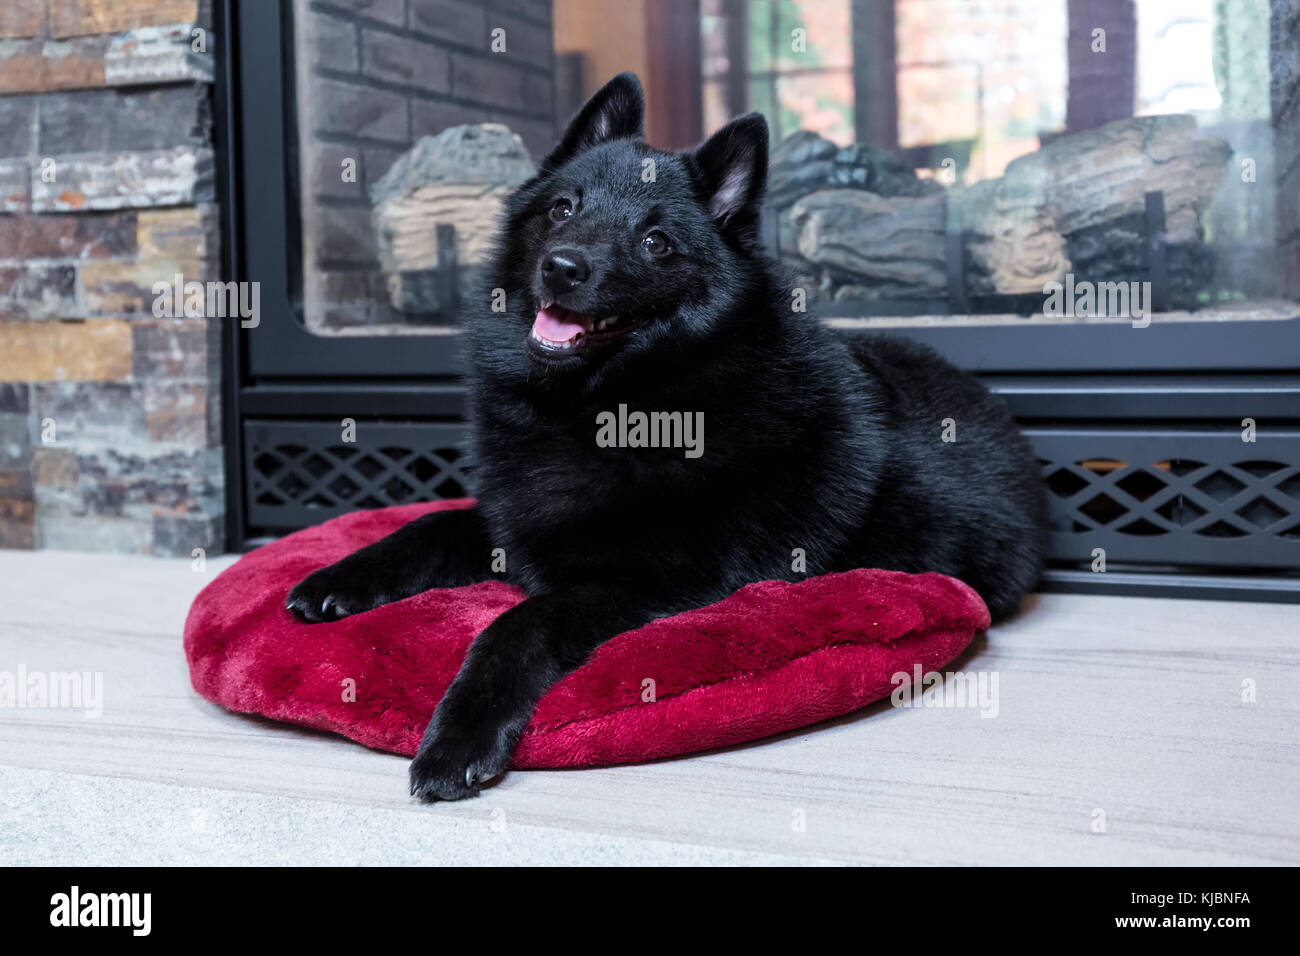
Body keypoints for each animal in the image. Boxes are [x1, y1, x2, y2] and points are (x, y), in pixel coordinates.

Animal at [287, 72, 1045, 801]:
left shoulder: (638, 581)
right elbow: (429, 524)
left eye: (655, 241)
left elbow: (516, 624)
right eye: (563, 208)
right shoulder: (516, 524)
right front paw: (337, 579)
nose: (563, 266)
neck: (608, 405)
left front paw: (457, 739)